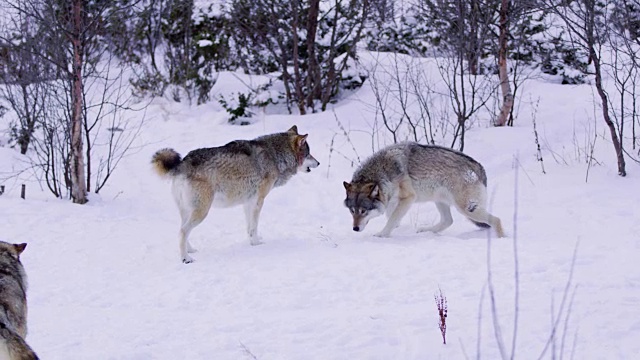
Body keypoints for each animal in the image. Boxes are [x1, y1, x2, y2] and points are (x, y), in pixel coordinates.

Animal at [151, 125, 320, 262]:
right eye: (309, 154)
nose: (318, 163)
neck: (275, 155)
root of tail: (181, 164)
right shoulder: (258, 200)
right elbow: (254, 226)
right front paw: (256, 243)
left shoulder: (248, 201)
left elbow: (249, 227)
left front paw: (252, 242)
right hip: (201, 212)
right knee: (182, 232)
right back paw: (186, 258)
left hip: (188, 211)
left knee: (182, 230)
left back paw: (191, 250)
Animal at [342, 142, 502, 238]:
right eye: (352, 211)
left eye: (363, 211)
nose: (355, 229)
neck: (383, 173)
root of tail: (478, 167)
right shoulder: (392, 202)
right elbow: (392, 218)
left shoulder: (408, 198)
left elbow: (392, 219)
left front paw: (382, 235)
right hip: (440, 201)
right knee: (448, 221)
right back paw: (426, 231)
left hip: (467, 209)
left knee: (497, 220)